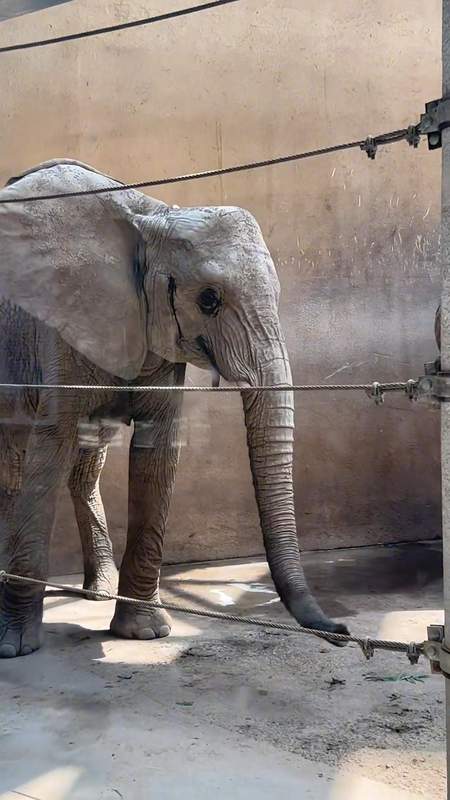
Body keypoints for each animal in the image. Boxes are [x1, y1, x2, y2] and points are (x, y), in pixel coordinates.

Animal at [0, 159, 349, 658]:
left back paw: (98, 592)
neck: (156, 215)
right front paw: (15, 647)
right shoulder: (58, 326)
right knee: (19, 466)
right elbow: (50, 448)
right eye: (208, 299)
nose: (341, 631)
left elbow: (157, 451)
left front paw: (143, 633)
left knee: (80, 465)